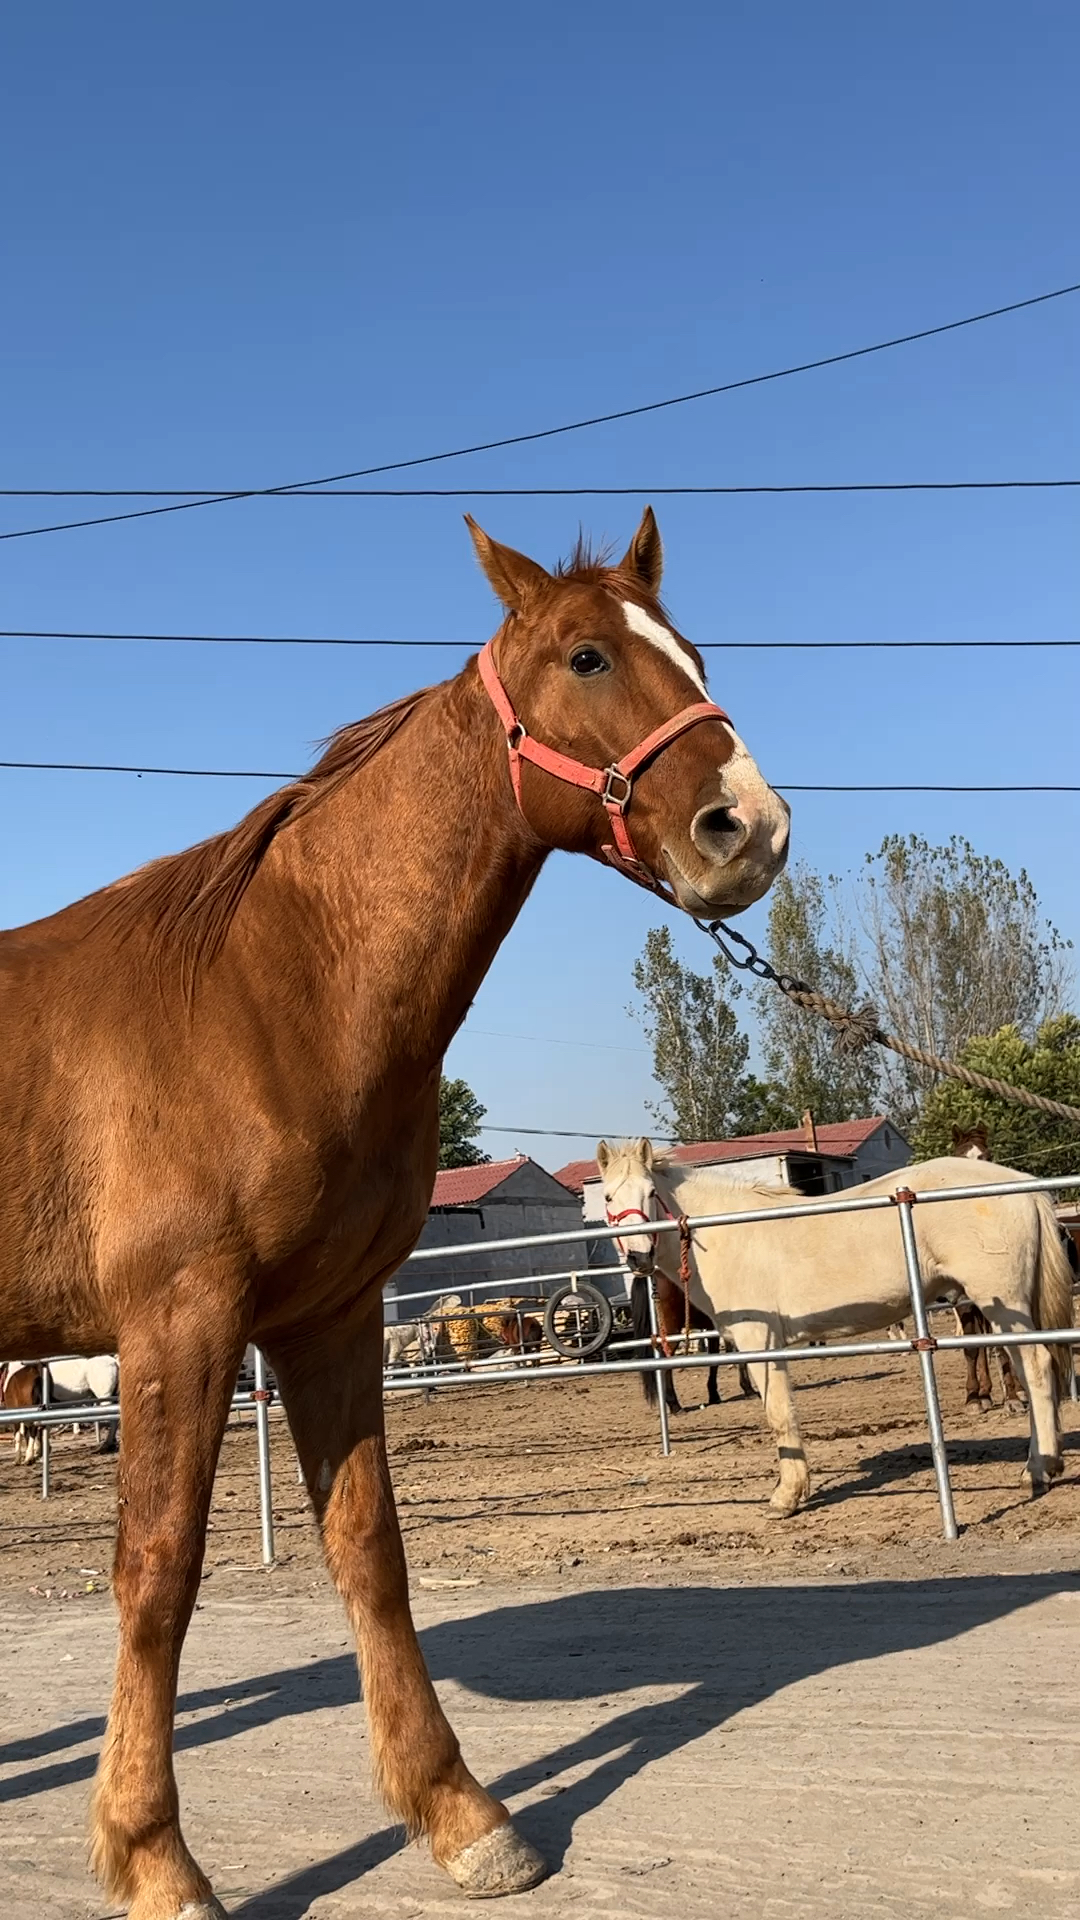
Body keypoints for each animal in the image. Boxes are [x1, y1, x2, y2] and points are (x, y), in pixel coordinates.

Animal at [2, 510, 791, 1920]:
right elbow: (157, 1571)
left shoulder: (330, 1318)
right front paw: (155, 1859)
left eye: (694, 653)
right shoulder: (177, 1325)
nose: (746, 827)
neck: (272, 984)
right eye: (588, 655)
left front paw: (461, 1813)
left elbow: (369, 1548)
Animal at [595, 1136, 1068, 1512]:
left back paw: (1038, 1469)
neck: (726, 1233)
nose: (638, 1257)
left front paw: (786, 1497)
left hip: (1002, 1304)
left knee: (1037, 1368)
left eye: (650, 1192)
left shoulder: (759, 1341)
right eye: (609, 1198)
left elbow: (779, 1414)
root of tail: (1021, 1185)